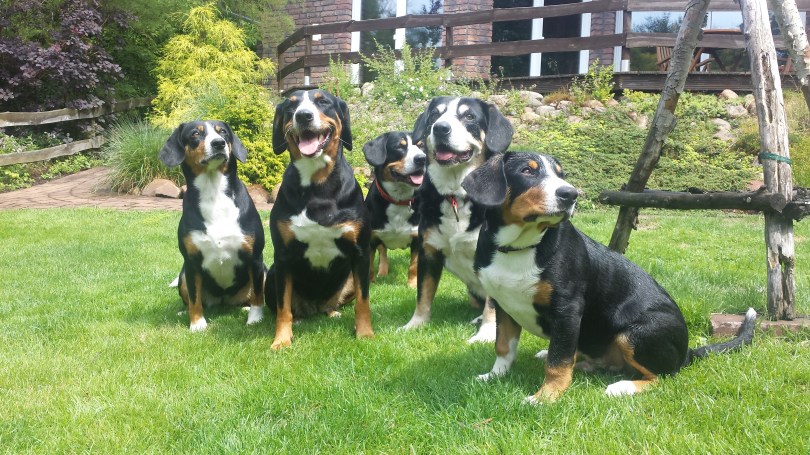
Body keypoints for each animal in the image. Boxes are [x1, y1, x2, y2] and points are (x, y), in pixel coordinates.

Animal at [159, 120, 266, 332]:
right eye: (195, 134)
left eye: (222, 132)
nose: (219, 143)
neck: (213, 193)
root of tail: (224, 300)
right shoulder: (191, 262)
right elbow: (194, 299)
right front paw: (197, 324)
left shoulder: (255, 257)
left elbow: (258, 296)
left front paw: (255, 319)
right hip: (183, 276)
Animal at [266, 89, 374, 349]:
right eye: (291, 107)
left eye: (323, 101)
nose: (303, 116)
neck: (318, 186)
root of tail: (314, 308)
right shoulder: (282, 257)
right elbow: (283, 308)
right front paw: (281, 340)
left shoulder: (362, 253)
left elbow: (363, 301)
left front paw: (365, 333)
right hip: (271, 274)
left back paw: (332, 311)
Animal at [363, 131, 426, 288]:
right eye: (399, 146)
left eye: (421, 145)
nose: (422, 159)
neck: (398, 200)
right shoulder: (371, 238)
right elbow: (370, 266)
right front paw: (370, 283)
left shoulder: (417, 239)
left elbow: (413, 266)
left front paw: (412, 285)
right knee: (383, 252)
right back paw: (382, 272)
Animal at [400, 96, 514, 343]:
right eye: (435, 114)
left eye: (469, 116)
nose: (440, 128)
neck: (456, 195)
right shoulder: (428, 252)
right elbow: (423, 295)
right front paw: (415, 324)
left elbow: (492, 305)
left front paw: (487, 333)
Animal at [462, 151, 757, 401]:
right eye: (527, 170)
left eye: (561, 174)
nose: (571, 194)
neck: (519, 247)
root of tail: (687, 352)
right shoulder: (504, 304)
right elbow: (504, 347)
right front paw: (494, 375)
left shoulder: (567, 309)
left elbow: (558, 363)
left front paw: (545, 397)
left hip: (636, 332)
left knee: (664, 376)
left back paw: (624, 387)